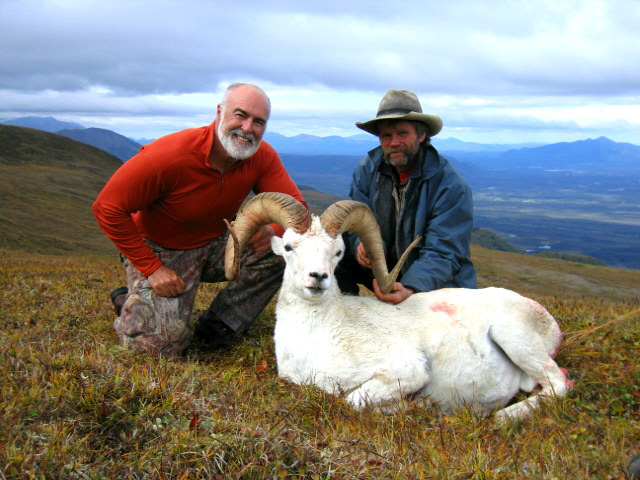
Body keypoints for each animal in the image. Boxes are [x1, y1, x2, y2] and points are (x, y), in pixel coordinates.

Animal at [226, 191, 576, 420]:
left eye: (337, 252)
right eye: (288, 247)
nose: (318, 277)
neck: (319, 336)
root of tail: (547, 319)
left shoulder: (405, 372)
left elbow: (352, 401)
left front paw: (413, 407)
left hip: (513, 338)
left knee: (559, 385)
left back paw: (502, 417)